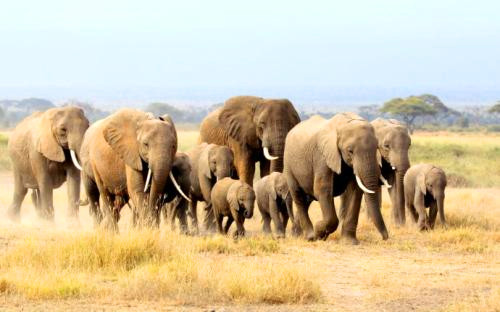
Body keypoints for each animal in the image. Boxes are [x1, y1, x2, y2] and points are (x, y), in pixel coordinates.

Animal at [286, 113, 386, 243]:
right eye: (350, 151)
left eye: (376, 149)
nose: (385, 237)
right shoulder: (322, 156)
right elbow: (323, 189)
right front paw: (319, 230)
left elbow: (355, 191)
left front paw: (349, 242)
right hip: (288, 164)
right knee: (298, 196)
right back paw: (311, 237)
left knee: (307, 198)